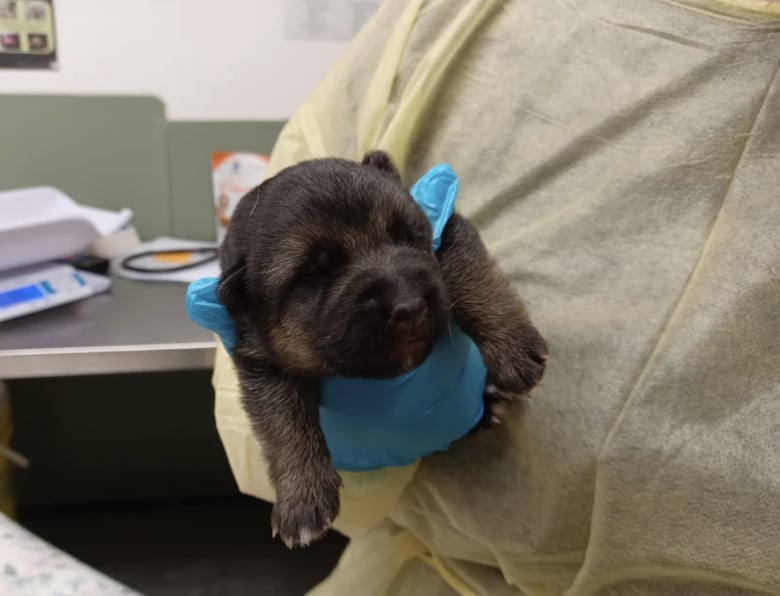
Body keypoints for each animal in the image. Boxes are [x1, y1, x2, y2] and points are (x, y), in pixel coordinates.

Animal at [219, 151, 548, 548]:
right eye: (314, 273)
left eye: (406, 236)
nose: (409, 307)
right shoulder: (259, 360)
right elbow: (284, 423)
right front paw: (301, 497)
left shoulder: (449, 229)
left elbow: (470, 277)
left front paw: (512, 346)